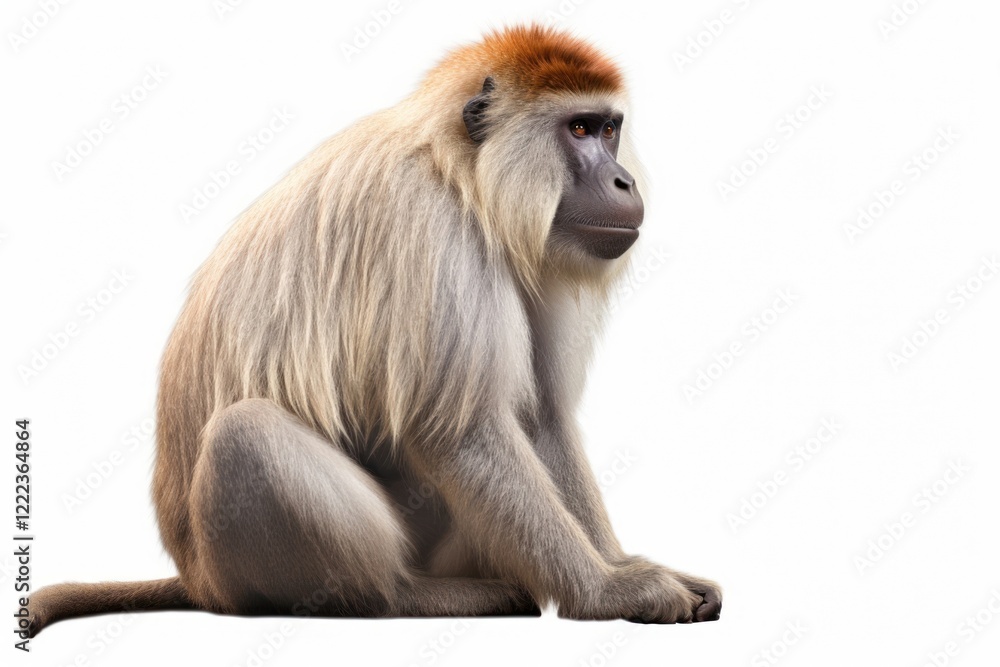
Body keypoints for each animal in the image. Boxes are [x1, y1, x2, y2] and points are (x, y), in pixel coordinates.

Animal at [28, 24, 721, 636]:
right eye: (578, 129)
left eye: (609, 129)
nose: (623, 179)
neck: (462, 175)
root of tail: (198, 580)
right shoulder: (428, 228)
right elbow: (460, 432)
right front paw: (607, 591)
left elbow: (541, 416)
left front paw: (626, 564)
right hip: (237, 570)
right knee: (244, 434)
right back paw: (398, 596)